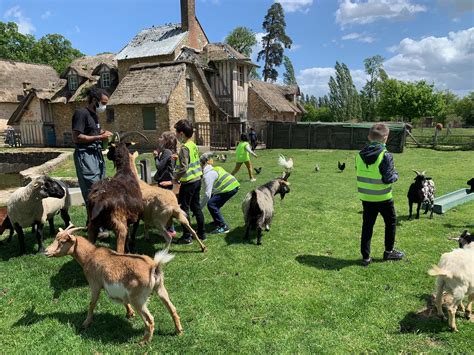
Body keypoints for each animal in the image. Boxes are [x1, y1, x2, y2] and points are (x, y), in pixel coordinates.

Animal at [44, 225, 183, 344]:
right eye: (56, 238)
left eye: (62, 241)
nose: (45, 251)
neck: (90, 255)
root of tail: (153, 266)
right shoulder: (122, 292)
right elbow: (124, 301)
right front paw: (130, 314)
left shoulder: (95, 284)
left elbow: (92, 303)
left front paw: (85, 323)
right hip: (160, 288)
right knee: (172, 308)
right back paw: (179, 331)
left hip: (138, 298)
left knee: (150, 320)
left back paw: (144, 342)